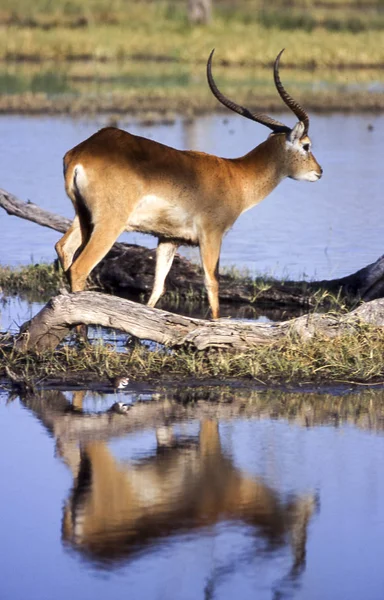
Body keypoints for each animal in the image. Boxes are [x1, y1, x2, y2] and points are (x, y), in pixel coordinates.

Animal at [55, 49, 322, 322]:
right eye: (307, 145)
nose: (319, 171)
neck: (236, 177)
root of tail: (82, 152)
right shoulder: (211, 236)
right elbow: (212, 284)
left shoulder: (169, 239)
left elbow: (158, 287)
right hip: (109, 224)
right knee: (80, 268)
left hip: (83, 217)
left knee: (64, 247)